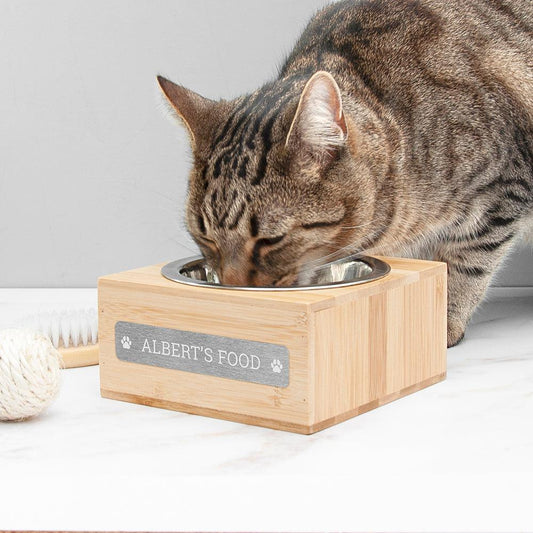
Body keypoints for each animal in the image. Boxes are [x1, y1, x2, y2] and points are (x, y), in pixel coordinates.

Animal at [158, 0, 532, 348]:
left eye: (270, 240)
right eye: (205, 237)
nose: (233, 290)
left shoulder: (504, 192)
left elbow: (466, 265)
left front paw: (442, 322)